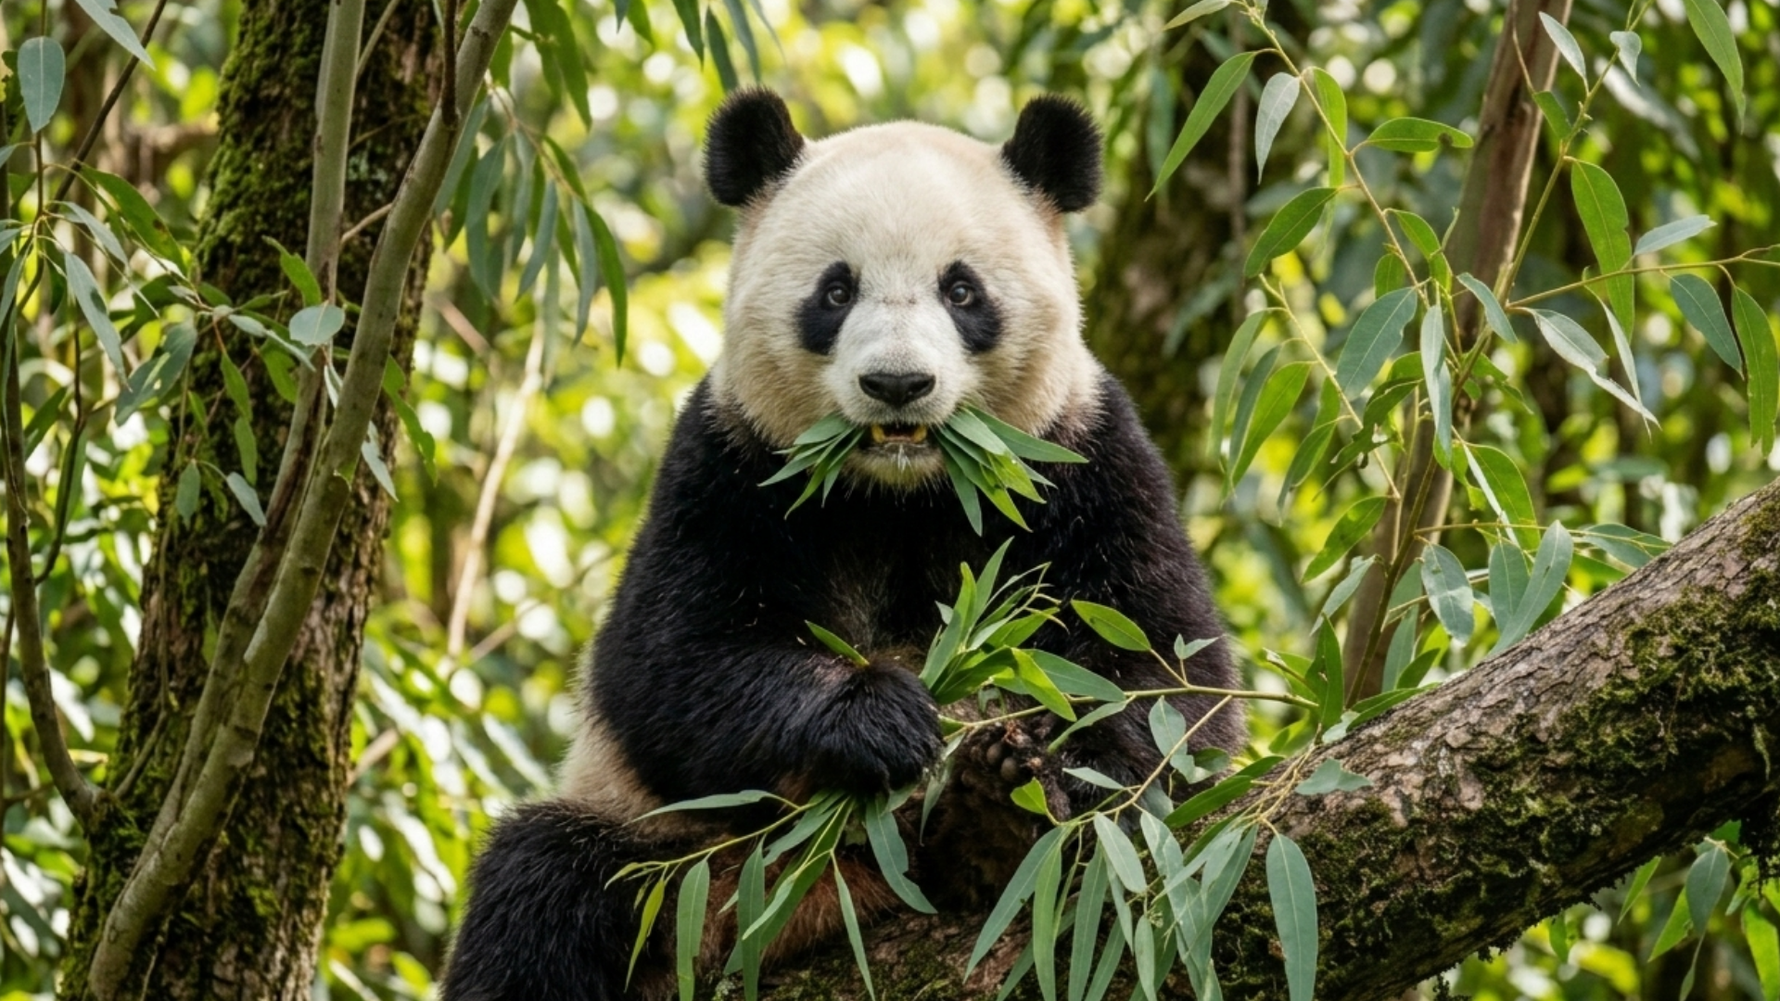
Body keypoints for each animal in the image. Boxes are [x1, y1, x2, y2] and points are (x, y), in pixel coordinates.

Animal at [440, 89, 1246, 1001]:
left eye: (961, 289)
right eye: (835, 289)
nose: (897, 384)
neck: (905, 488)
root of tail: (822, 899)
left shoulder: (1079, 456)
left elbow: (1162, 669)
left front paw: (1064, 771)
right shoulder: (731, 461)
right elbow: (666, 664)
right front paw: (881, 714)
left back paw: (994, 815)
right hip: (679, 856)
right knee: (543, 889)